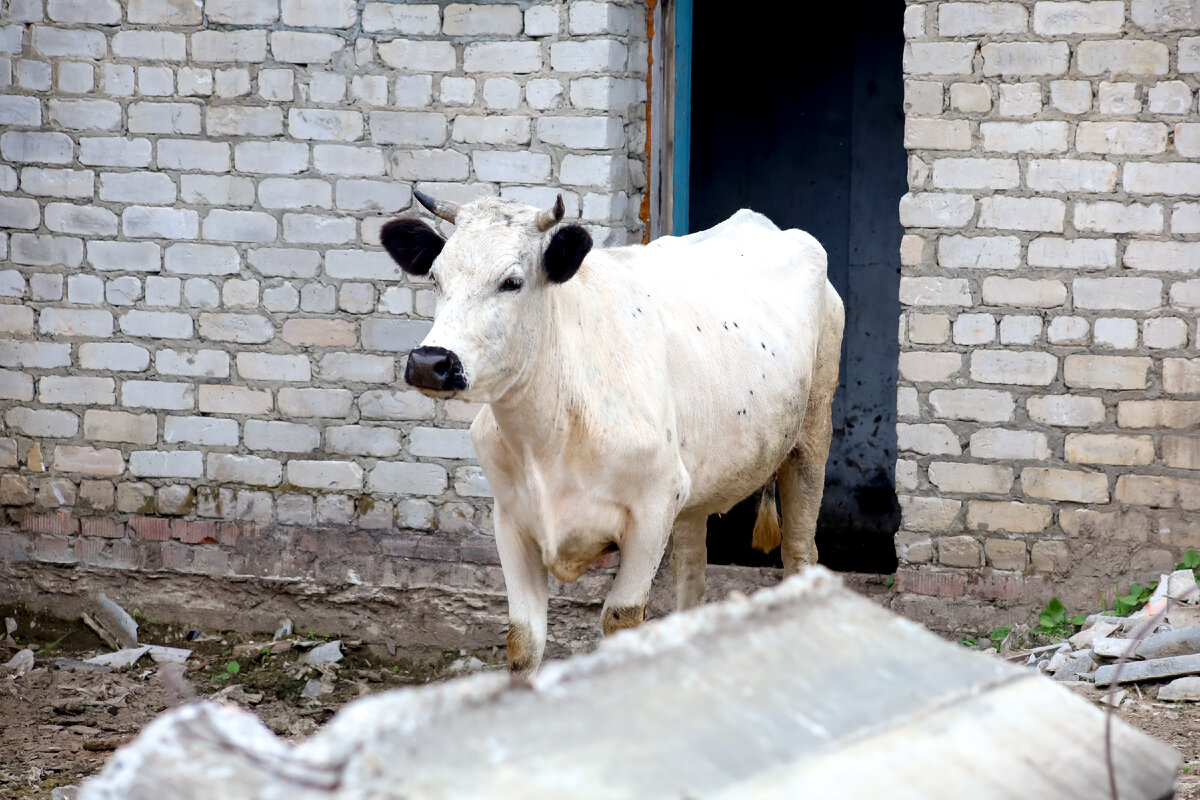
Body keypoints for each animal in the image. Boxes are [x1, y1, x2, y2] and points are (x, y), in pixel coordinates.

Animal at [381, 194, 844, 676]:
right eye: (436, 277)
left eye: (511, 282)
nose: (429, 362)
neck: (548, 435)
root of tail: (761, 223)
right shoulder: (510, 518)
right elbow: (523, 640)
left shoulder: (652, 509)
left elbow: (622, 620)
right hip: (695, 483)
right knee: (691, 572)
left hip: (811, 436)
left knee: (799, 554)